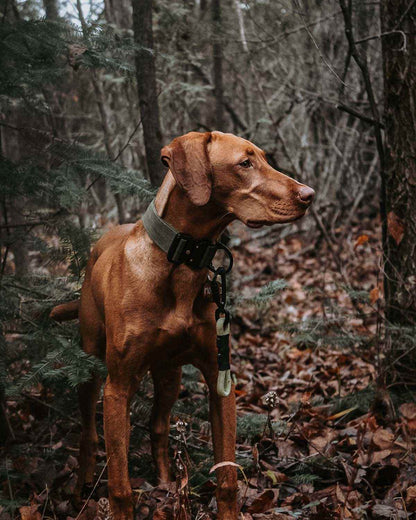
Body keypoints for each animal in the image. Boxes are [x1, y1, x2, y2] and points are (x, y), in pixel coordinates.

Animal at [50, 131, 314, 520]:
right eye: (245, 163)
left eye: (265, 158)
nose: (309, 195)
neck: (182, 261)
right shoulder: (118, 387)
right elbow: (120, 487)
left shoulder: (220, 379)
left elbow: (227, 479)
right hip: (91, 364)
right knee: (88, 433)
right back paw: (82, 484)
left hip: (169, 374)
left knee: (158, 425)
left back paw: (164, 481)